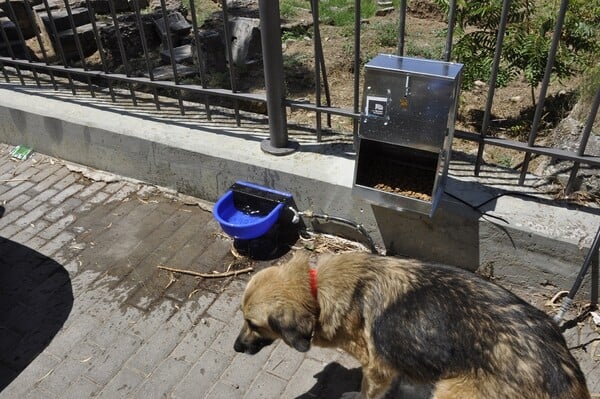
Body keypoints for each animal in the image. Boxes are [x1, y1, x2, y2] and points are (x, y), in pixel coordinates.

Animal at [234, 253, 592, 399]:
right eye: (243, 318)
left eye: (253, 324)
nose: (236, 348)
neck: (316, 291)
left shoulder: (376, 368)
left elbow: (367, 392)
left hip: (450, 392)